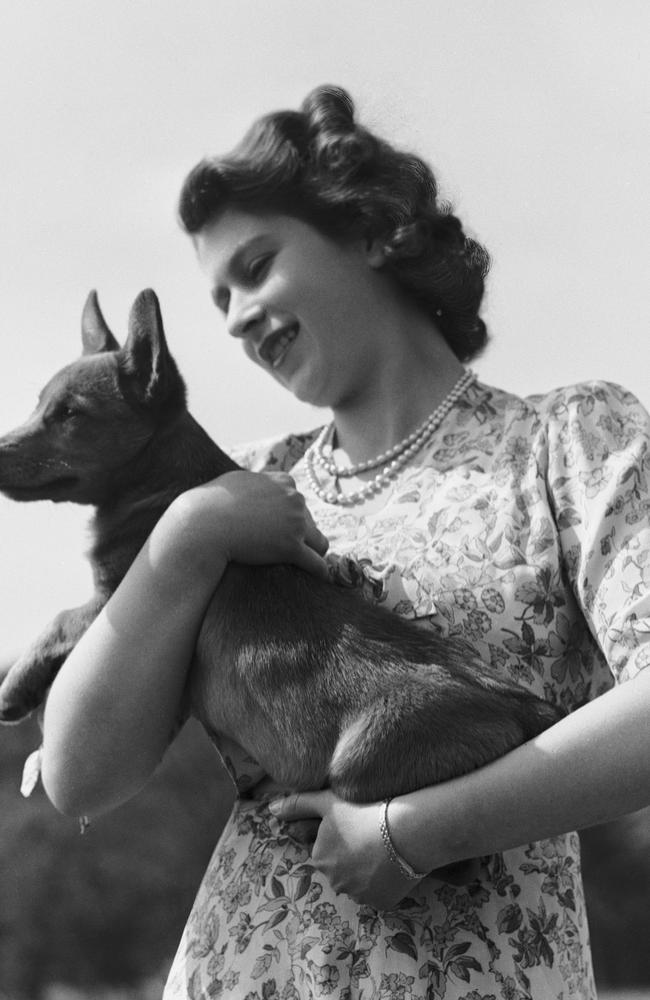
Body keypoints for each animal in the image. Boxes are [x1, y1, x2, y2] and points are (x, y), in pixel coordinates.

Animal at [0, 292, 560, 812]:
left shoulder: (112, 594)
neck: (162, 482)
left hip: (366, 758)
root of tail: (526, 709)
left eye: (69, 414)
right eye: (39, 407)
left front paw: (14, 686)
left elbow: (60, 618)